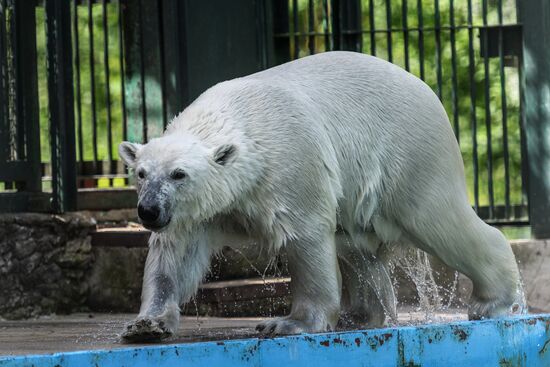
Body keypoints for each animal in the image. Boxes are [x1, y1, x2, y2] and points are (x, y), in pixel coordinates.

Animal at [119, 51, 528, 342]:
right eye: (141, 173)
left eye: (179, 173)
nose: (149, 211)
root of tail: (427, 90)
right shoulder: (200, 209)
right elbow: (175, 253)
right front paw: (146, 325)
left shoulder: (292, 165)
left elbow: (306, 237)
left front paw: (286, 323)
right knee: (357, 248)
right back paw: (360, 314)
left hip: (409, 155)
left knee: (438, 221)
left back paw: (490, 302)